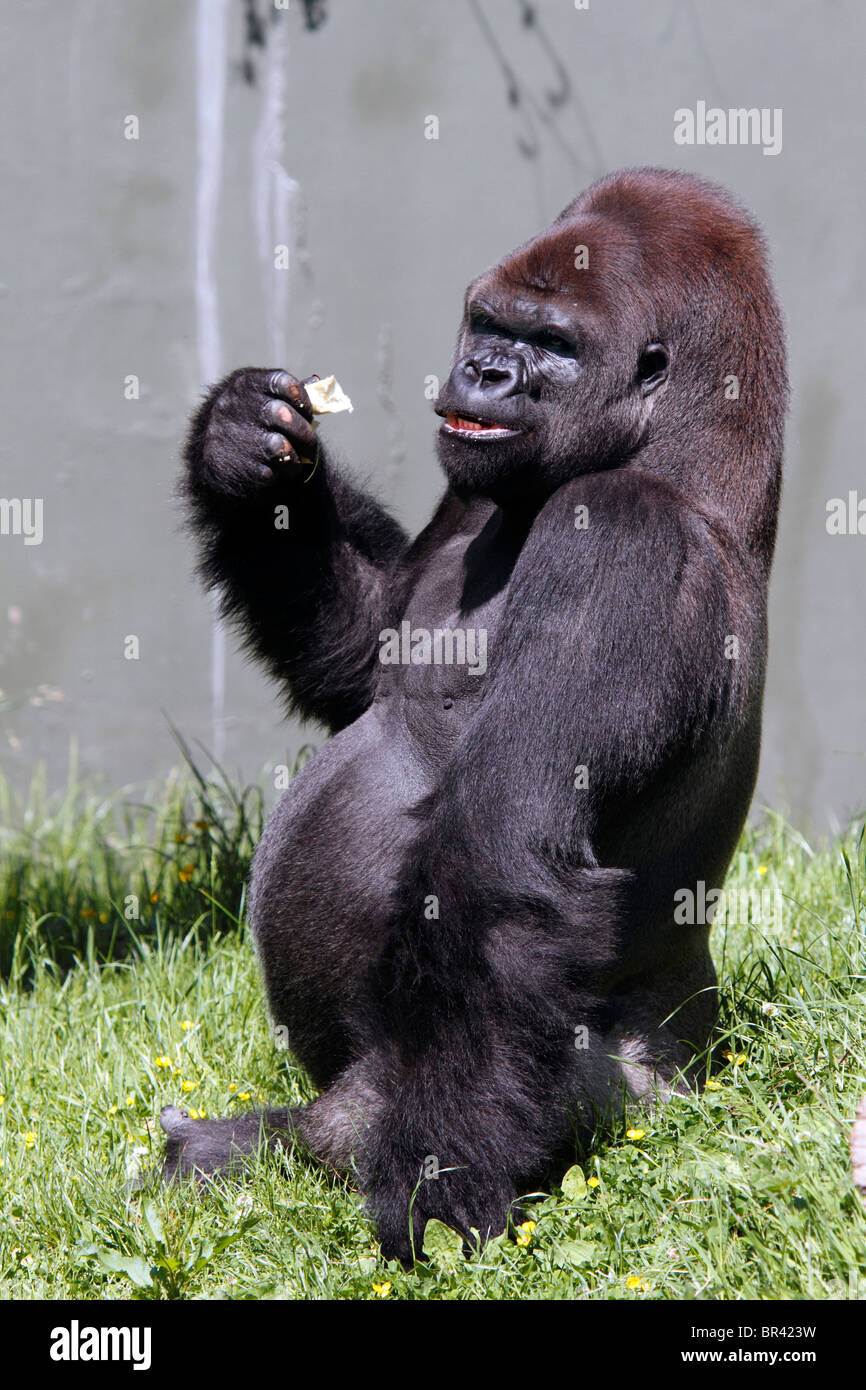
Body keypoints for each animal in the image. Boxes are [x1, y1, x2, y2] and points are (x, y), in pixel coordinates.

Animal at [166, 168, 789, 1267]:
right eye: (490, 323)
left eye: (552, 344)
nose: (485, 372)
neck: (693, 454)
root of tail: (699, 1069)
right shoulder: (473, 483)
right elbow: (361, 648)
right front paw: (240, 444)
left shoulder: (623, 539)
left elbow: (498, 854)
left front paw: (434, 1185)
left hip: (630, 1100)